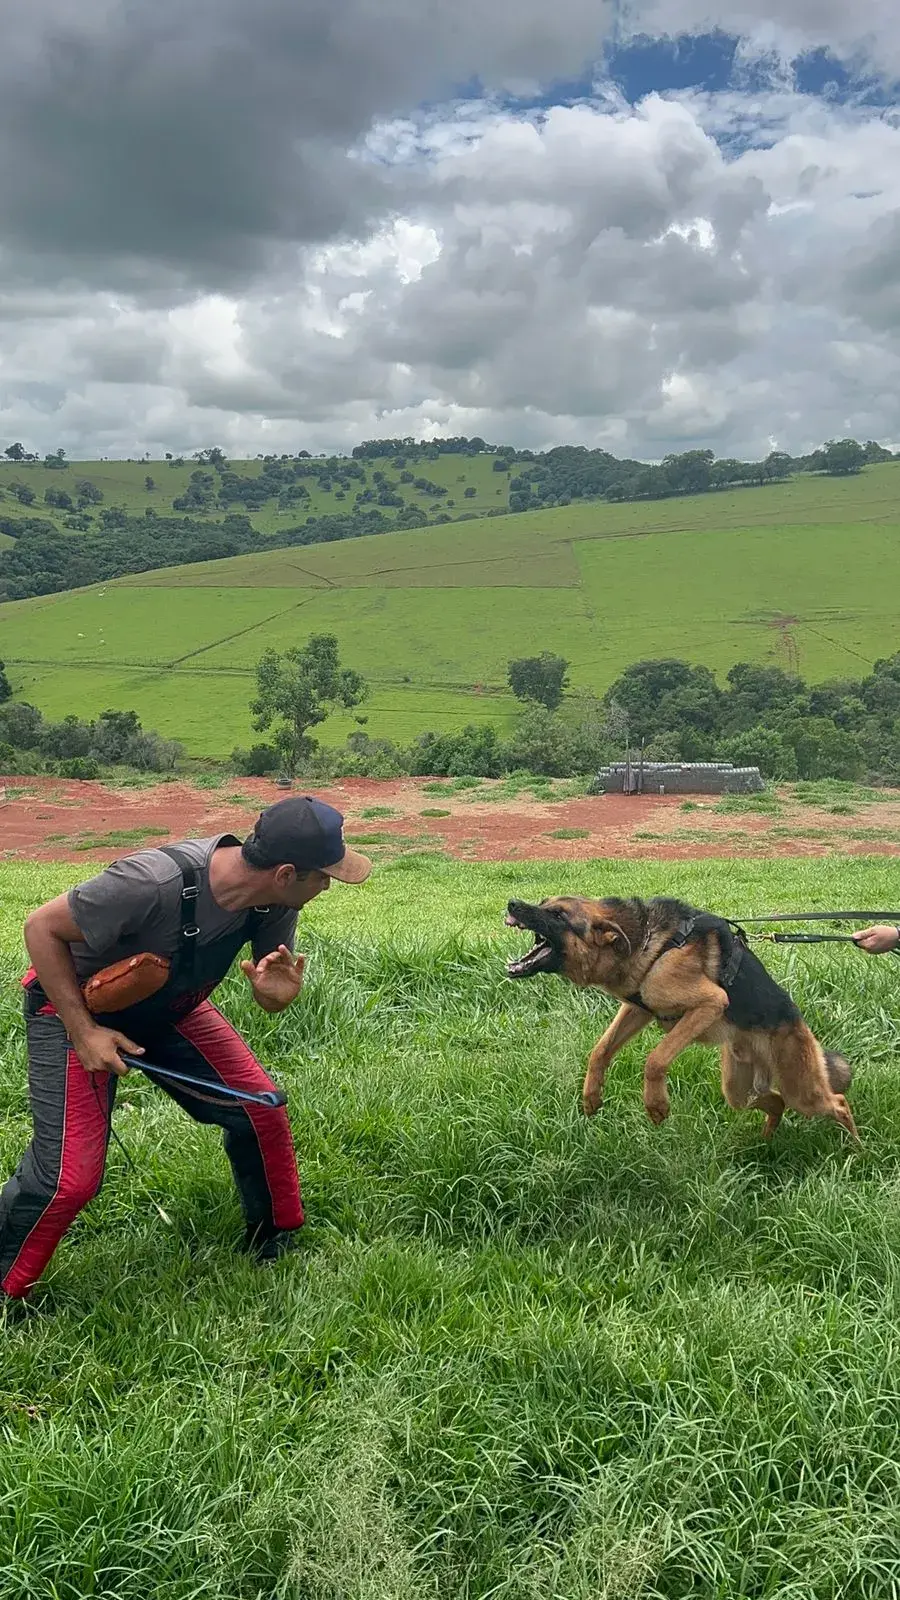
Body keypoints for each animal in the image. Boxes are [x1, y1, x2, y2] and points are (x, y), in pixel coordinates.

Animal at [506, 896, 851, 1145]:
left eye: (558, 915)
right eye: (544, 902)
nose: (511, 903)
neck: (644, 941)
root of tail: (800, 1026)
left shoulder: (710, 1003)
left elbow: (656, 1059)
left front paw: (656, 1105)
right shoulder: (638, 1009)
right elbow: (600, 1050)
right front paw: (591, 1095)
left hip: (802, 1090)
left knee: (839, 1103)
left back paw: (855, 1151)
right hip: (739, 1090)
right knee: (776, 1103)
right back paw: (766, 1141)